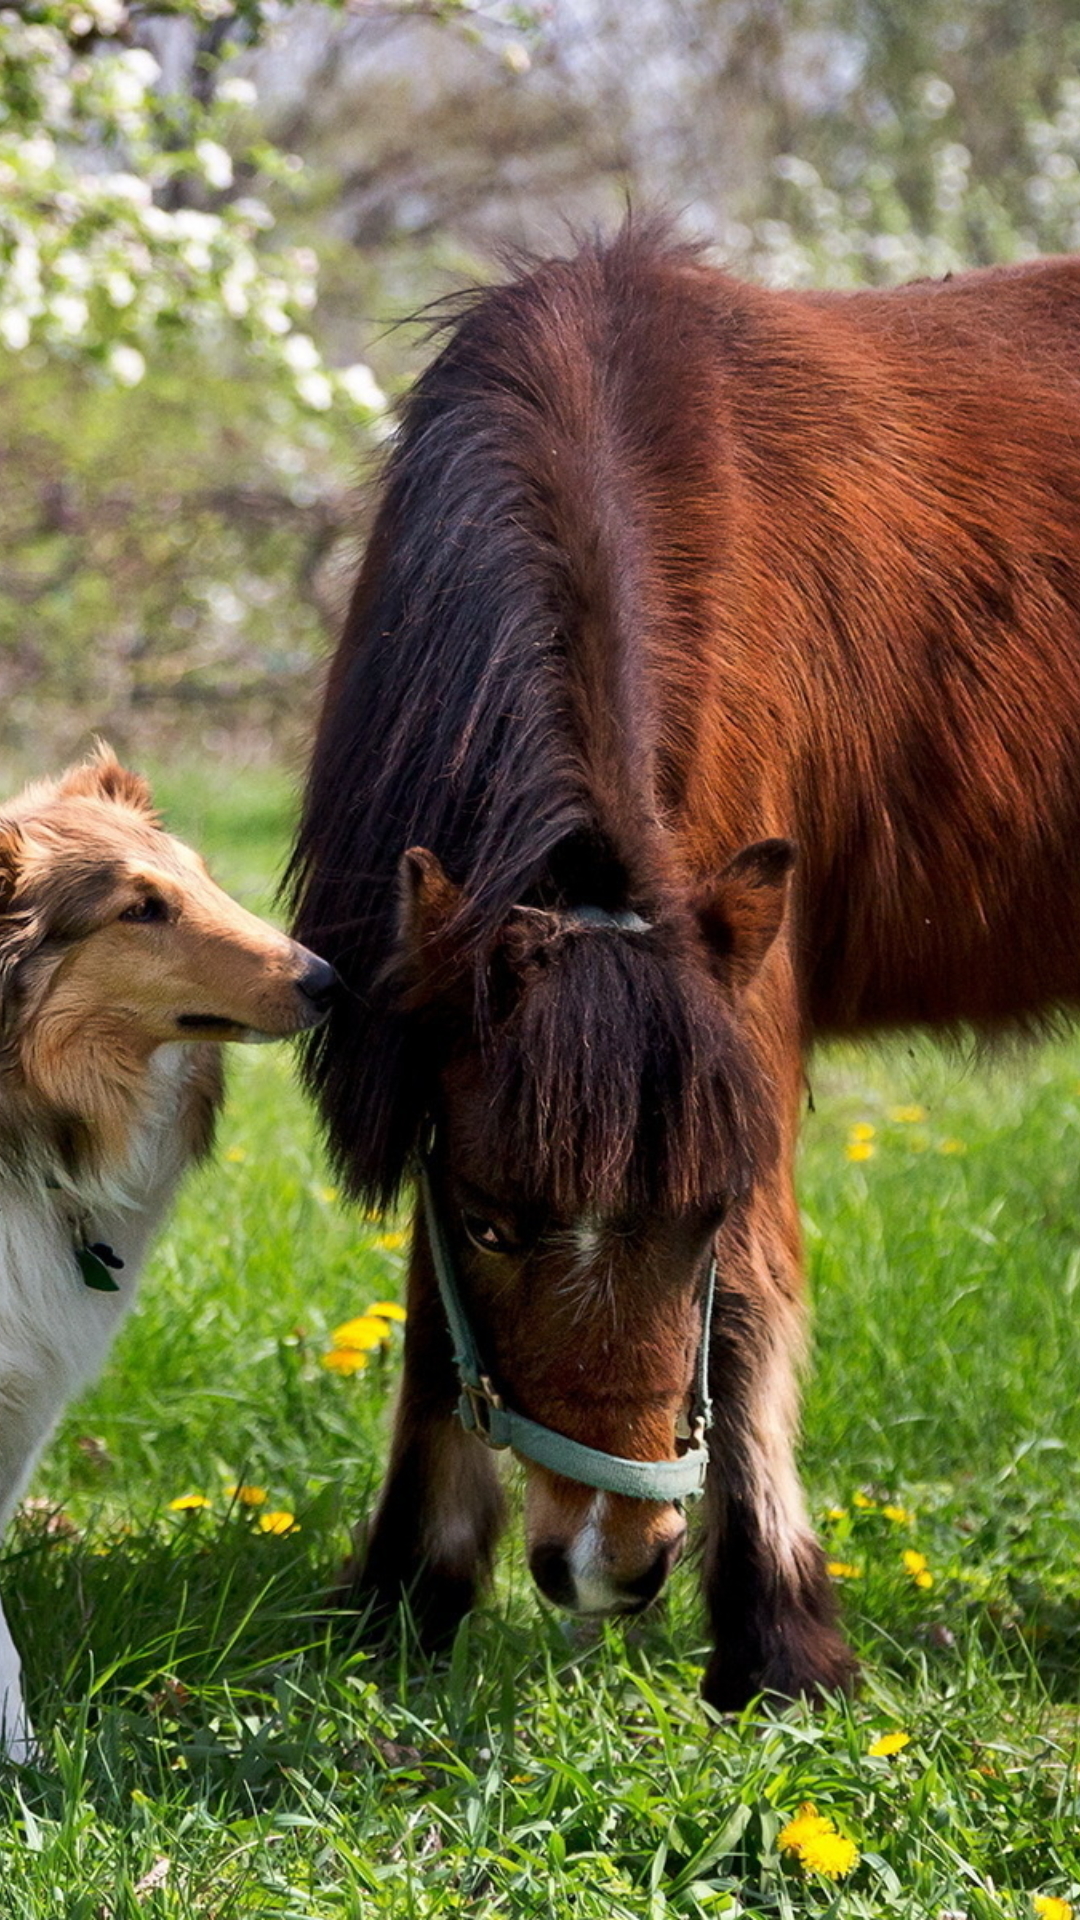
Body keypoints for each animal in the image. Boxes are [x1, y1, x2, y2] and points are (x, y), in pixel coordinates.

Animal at [288, 224, 1080, 1712]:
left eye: (699, 1217)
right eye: (492, 1219)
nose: (614, 1566)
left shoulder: (748, 1001)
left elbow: (757, 1301)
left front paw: (780, 1640)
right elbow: (434, 1320)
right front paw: (405, 1594)